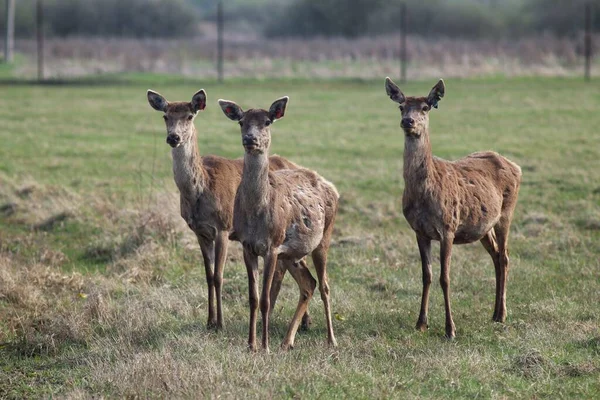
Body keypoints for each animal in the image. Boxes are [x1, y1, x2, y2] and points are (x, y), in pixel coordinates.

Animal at [148, 90, 312, 332]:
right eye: (165, 116)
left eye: (189, 116)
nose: (173, 138)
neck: (202, 188)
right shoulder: (200, 232)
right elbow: (208, 275)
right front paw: (209, 321)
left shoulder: (223, 227)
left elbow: (219, 276)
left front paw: (220, 323)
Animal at [218, 95, 340, 352]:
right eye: (241, 121)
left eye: (267, 121)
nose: (250, 139)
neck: (256, 213)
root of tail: (332, 186)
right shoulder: (247, 246)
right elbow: (253, 298)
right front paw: (251, 344)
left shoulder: (272, 246)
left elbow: (266, 299)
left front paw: (264, 347)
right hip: (292, 253)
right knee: (308, 284)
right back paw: (287, 341)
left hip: (324, 237)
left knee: (324, 286)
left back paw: (331, 340)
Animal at [384, 77, 520, 338]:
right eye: (401, 107)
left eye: (425, 107)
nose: (408, 121)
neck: (423, 194)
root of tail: (516, 166)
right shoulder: (419, 231)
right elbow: (426, 276)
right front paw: (421, 323)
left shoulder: (448, 227)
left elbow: (444, 278)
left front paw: (450, 329)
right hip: (483, 226)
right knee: (496, 255)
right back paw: (494, 313)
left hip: (506, 212)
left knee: (505, 256)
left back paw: (503, 314)